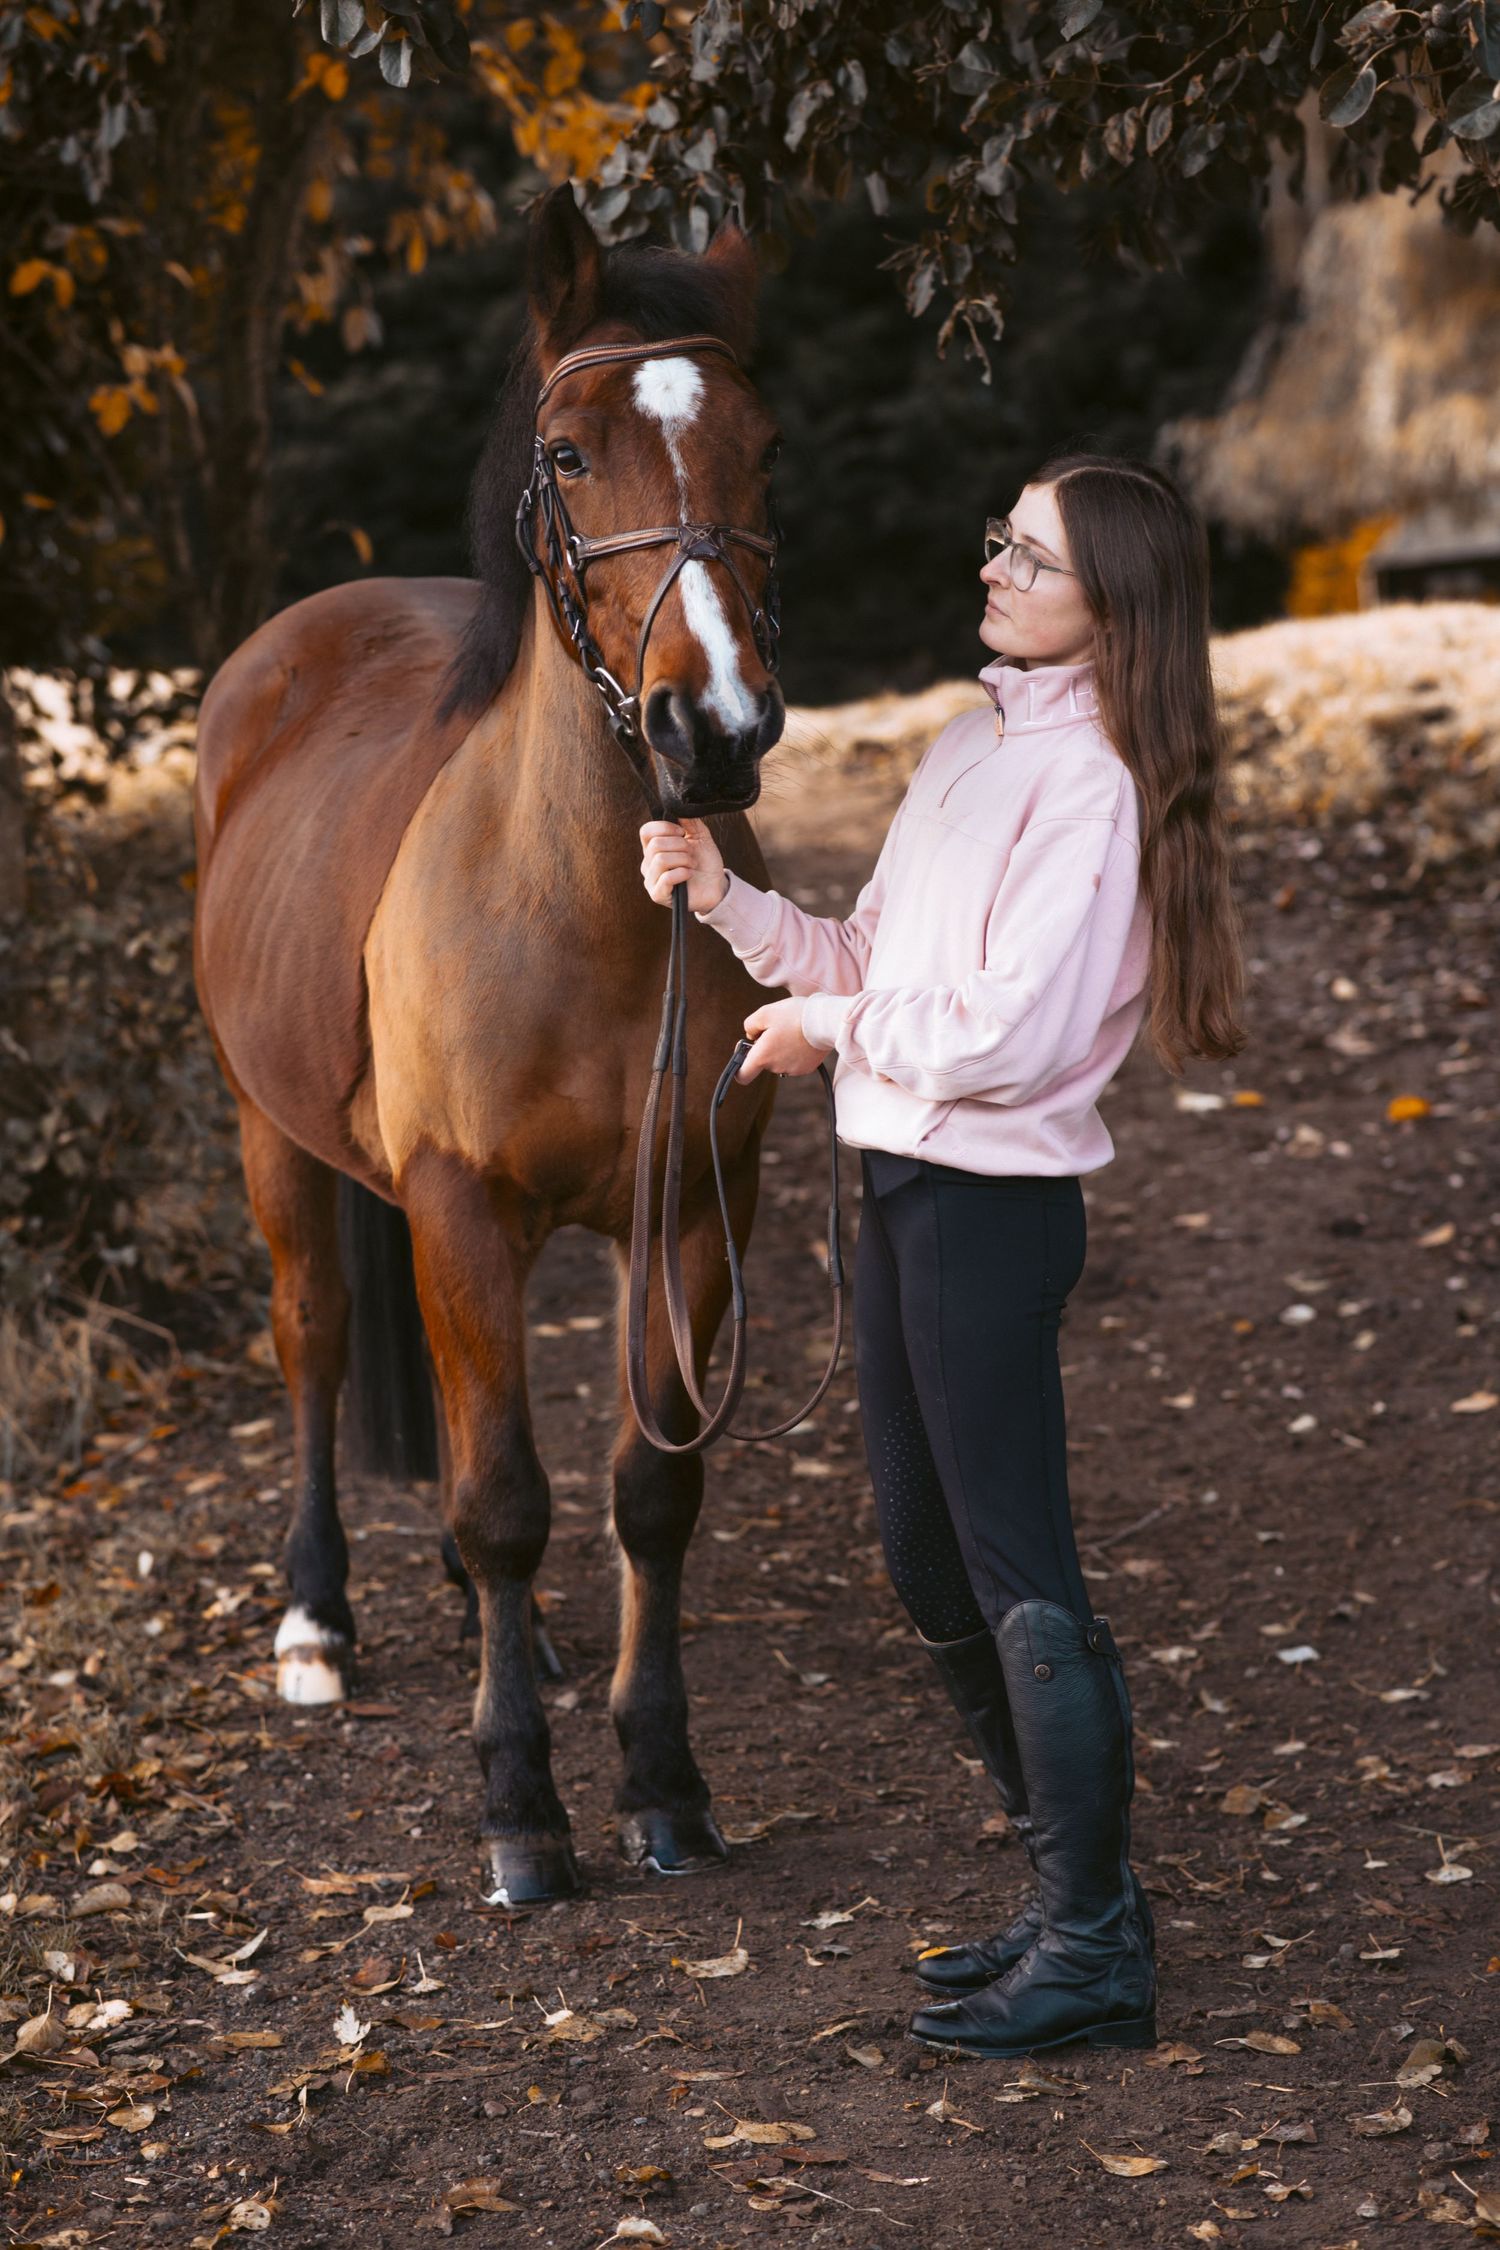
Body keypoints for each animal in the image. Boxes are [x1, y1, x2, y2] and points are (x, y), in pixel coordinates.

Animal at [192, 185, 792, 1906]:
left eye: (764, 447)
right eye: (570, 452)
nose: (715, 729)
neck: (578, 904)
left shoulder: (694, 1208)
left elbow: (648, 1490)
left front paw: (662, 1781)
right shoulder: (460, 1201)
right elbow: (509, 1495)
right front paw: (523, 1804)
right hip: (273, 1141)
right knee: (319, 1341)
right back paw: (318, 1620)